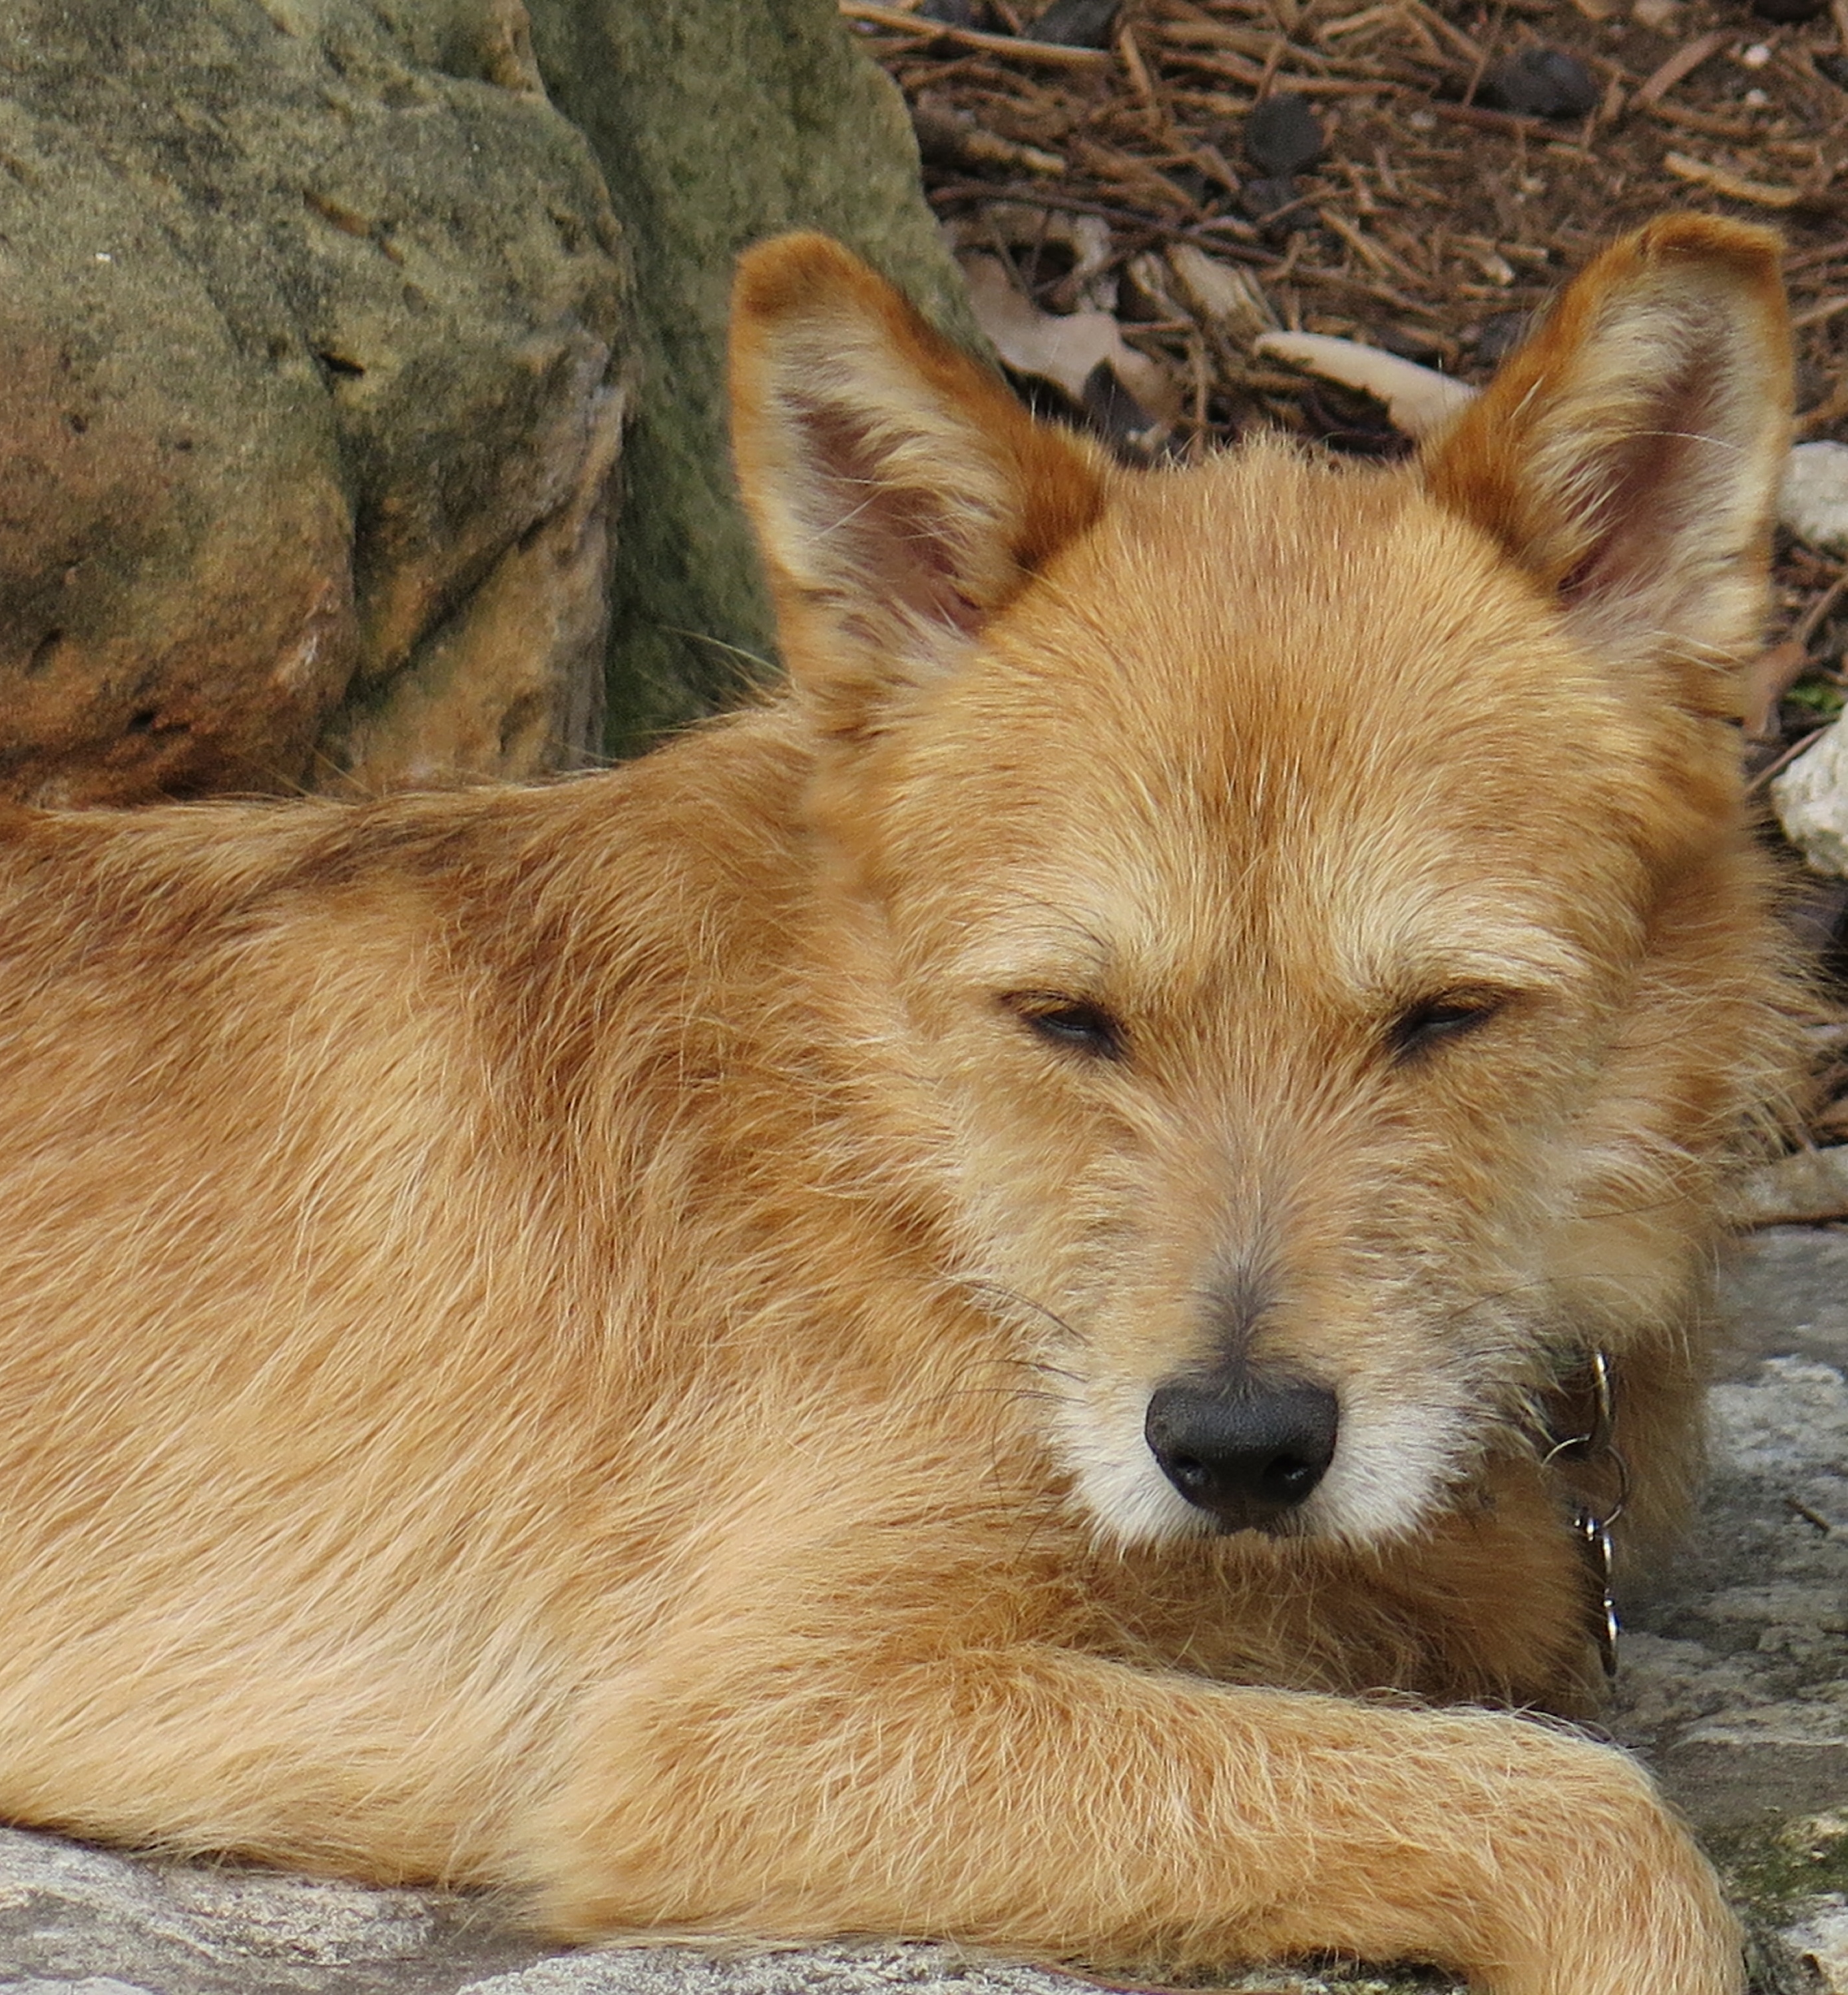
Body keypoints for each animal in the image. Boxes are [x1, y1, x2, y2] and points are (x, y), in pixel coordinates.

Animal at [0, 214, 1801, 1995]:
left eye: (1442, 1017)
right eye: (1067, 1020)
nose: (1235, 1451)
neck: (891, 1158)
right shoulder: (725, 1731)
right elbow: (1594, 1826)